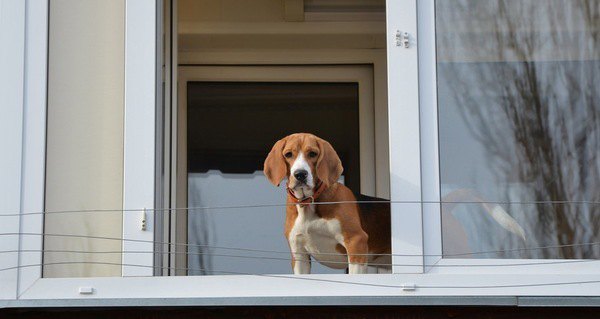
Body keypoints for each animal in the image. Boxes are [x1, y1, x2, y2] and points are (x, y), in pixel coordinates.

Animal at [264, 134, 524, 276]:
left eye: (312, 154)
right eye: (289, 154)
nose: (299, 174)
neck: (311, 203)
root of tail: (443, 206)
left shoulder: (356, 244)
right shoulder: (299, 254)